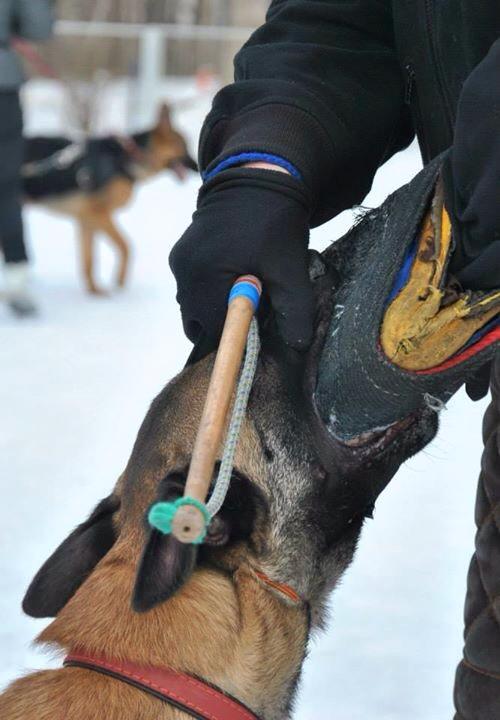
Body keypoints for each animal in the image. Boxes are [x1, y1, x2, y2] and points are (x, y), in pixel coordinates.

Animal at [23, 102, 197, 294]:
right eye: (184, 145)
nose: (198, 168)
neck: (126, 157)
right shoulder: (99, 215)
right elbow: (126, 246)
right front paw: (119, 283)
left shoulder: (85, 220)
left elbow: (88, 260)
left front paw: (95, 292)